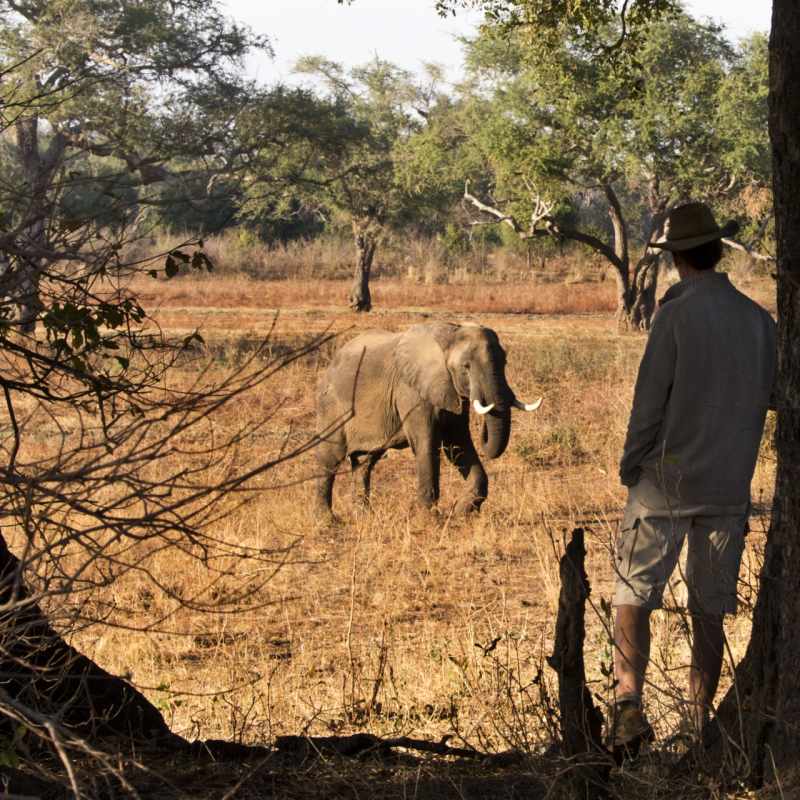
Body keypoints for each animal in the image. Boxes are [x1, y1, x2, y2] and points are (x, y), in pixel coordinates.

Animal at [314, 321, 542, 517]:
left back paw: (364, 516)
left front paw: (461, 512)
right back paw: (328, 520)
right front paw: (430, 518)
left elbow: (458, 445)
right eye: (466, 367)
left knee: (365, 462)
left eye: (505, 362)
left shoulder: (450, 391)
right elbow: (427, 443)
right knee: (330, 460)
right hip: (331, 405)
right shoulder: (411, 391)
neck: (450, 334)